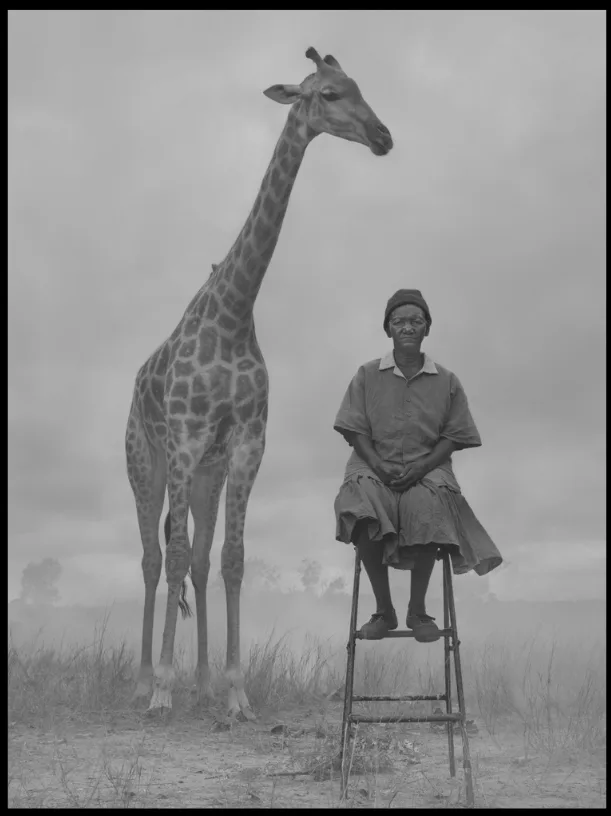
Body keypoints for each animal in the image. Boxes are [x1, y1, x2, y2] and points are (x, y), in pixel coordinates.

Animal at [125, 47, 393, 718]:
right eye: (327, 94)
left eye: (360, 86)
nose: (384, 137)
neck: (233, 312)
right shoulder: (186, 440)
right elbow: (172, 554)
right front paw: (163, 689)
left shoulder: (246, 444)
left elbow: (232, 559)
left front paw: (234, 693)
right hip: (146, 462)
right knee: (152, 557)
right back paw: (143, 684)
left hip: (206, 474)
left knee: (195, 560)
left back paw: (196, 684)